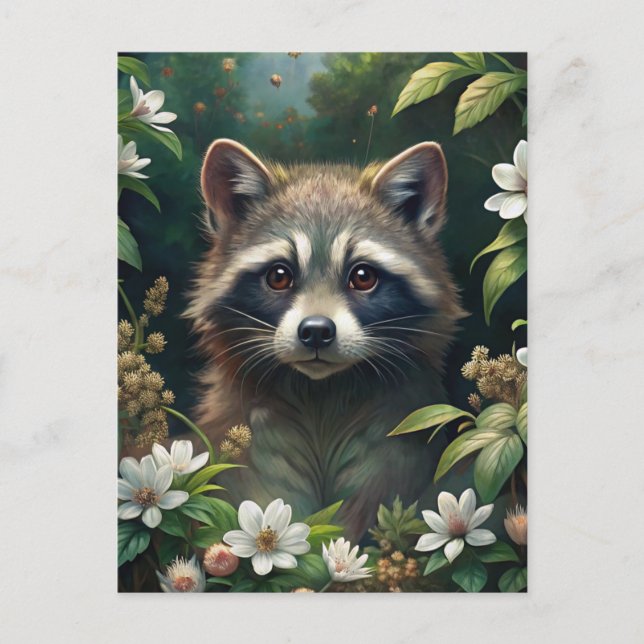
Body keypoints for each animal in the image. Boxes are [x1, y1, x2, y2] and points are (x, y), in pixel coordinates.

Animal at [185, 139, 465, 540]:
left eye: (363, 276)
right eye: (279, 276)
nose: (316, 330)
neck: (321, 393)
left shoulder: (399, 433)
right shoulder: (247, 436)